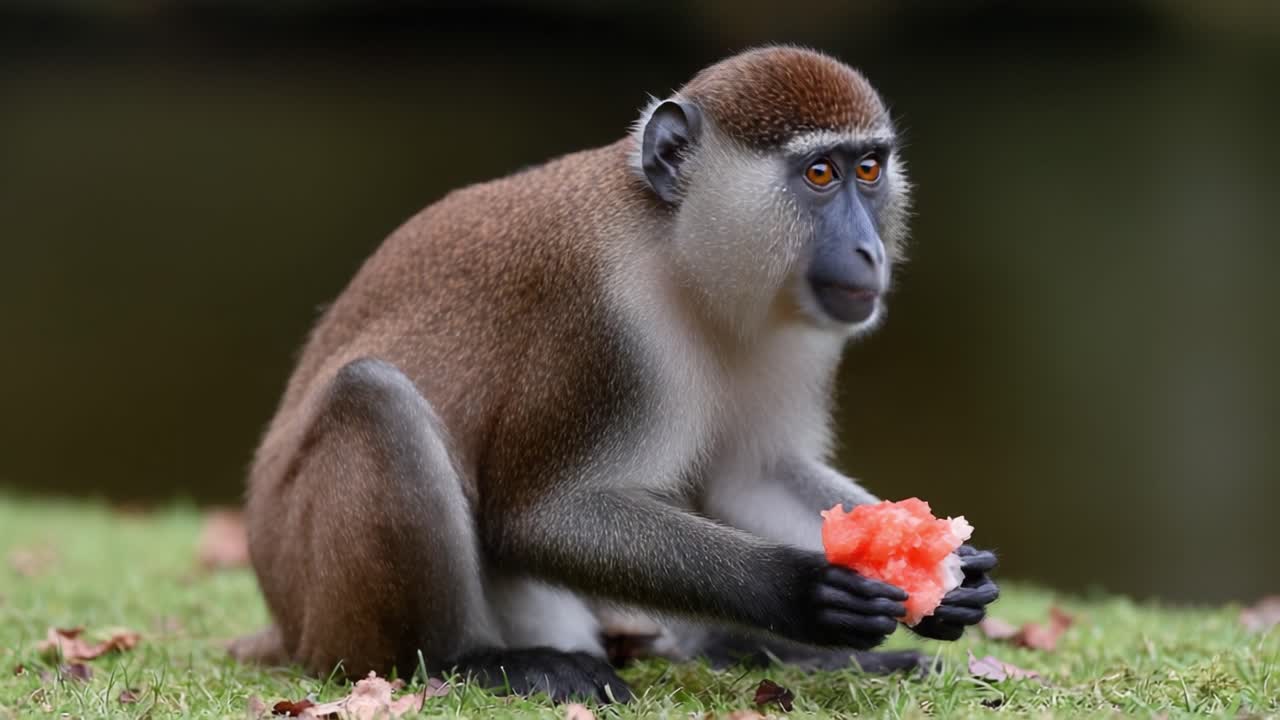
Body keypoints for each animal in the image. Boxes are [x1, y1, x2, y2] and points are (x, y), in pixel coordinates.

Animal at [231, 46, 999, 703]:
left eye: (868, 170)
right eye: (820, 174)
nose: (870, 251)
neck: (678, 249)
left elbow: (749, 474)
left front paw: (948, 572)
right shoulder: (603, 316)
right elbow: (541, 516)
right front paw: (799, 589)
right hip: (328, 611)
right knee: (373, 396)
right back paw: (473, 659)